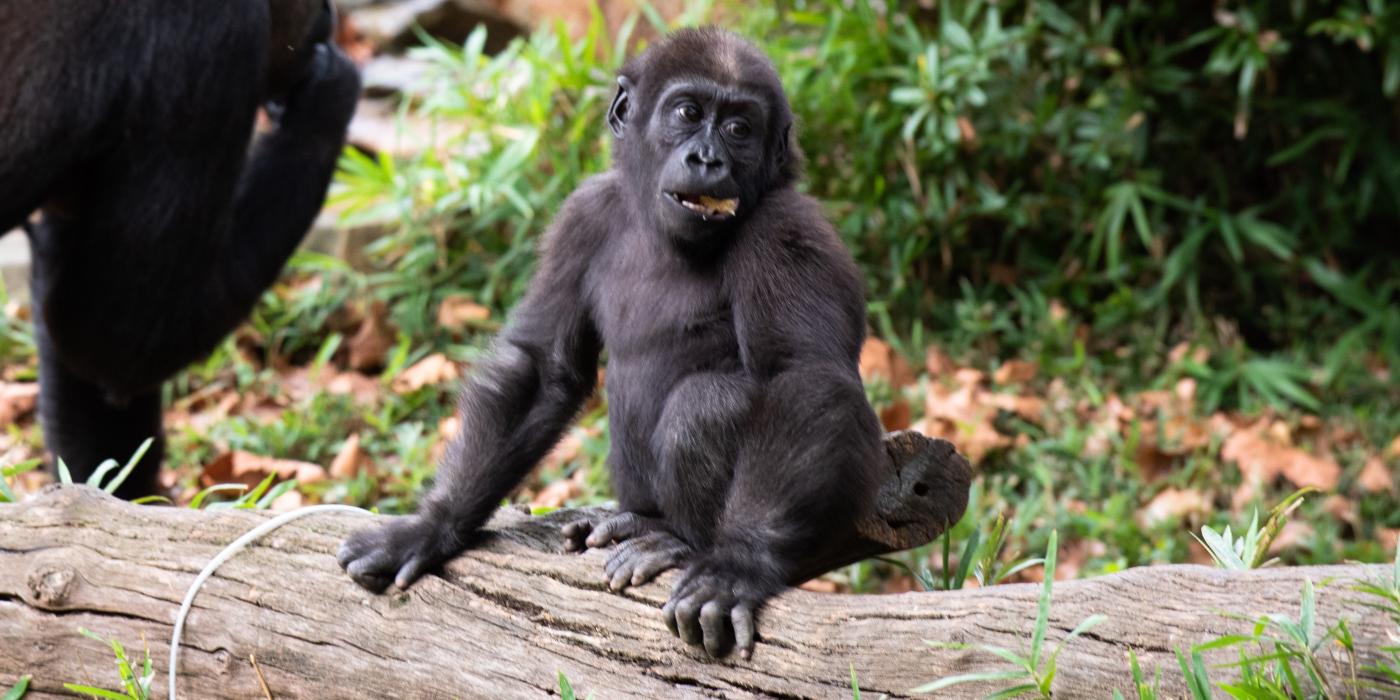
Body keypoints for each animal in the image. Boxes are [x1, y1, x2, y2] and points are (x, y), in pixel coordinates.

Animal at [337, 27, 879, 658]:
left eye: (740, 128)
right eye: (688, 113)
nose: (707, 158)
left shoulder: (786, 229)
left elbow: (800, 377)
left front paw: (741, 560)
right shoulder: (582, 213)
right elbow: (542, 368)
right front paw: (432, 525)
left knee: (707, 404)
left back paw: (676, 540)